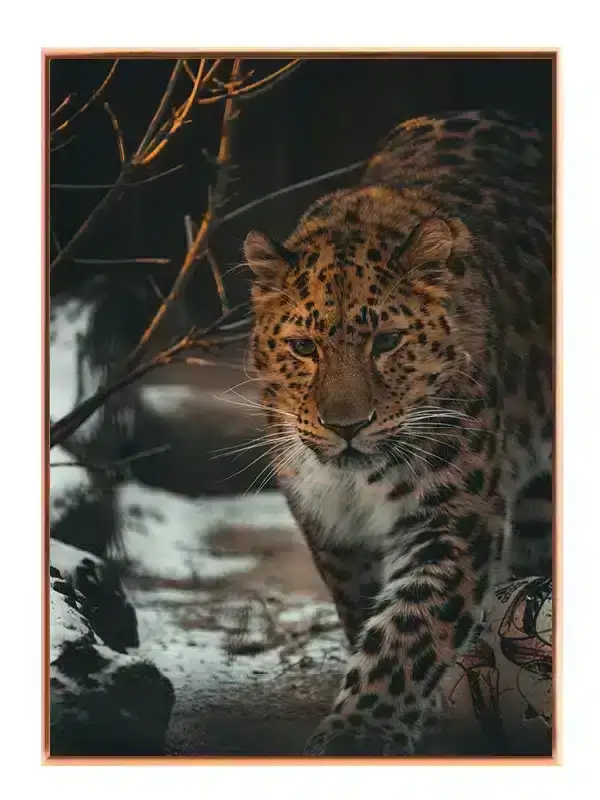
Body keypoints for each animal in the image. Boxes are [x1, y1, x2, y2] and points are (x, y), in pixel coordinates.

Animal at [242, 110, 553, 756]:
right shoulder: (328, 525)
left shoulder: (452, 516)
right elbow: (366, 610)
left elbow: (410, 632)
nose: (346, 426)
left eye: (387, 341)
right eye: (303, 347)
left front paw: (359, 732)